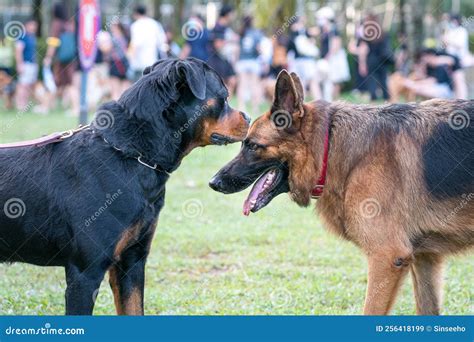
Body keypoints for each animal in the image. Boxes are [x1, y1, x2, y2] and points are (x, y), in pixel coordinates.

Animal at [0, 58, 250, 316]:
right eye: (225, 97)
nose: (249, 118)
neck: (132, 154)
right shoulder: (84, 273)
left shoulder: (131, 261)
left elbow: (134, 307)